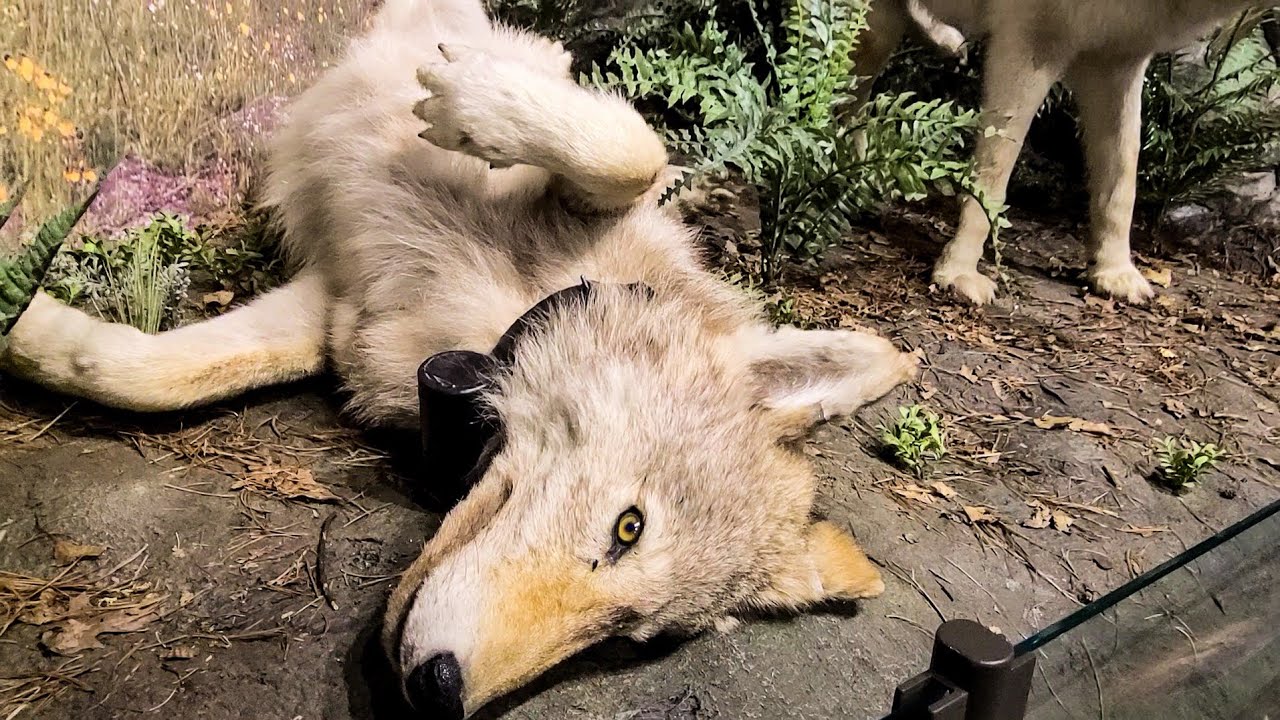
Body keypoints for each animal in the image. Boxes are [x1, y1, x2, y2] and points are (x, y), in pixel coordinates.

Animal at [0, 0, 919, 715]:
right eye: (629, 526)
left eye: (627, 639)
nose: (440, 694)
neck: (505, 311)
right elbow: (634, 150)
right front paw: (476, 99)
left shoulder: (333, 314)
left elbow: (142, 374)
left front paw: (31, 329)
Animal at [851, 0, 1276, 305]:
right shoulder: (1030, 45)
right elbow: (994, 172)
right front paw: (957, 273)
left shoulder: (1118, 61)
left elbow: (1121, 182)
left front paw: (1114, 272)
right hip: (875, 34)